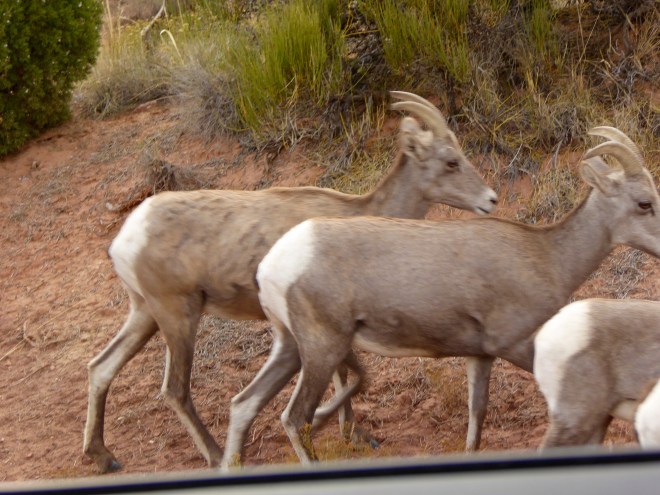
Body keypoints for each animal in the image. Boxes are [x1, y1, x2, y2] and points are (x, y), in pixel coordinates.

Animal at [83, 91, 498, 473]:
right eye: (451, 161)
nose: (491, 200)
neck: (362, 213)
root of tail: (128, 235)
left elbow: (345, 376)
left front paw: (351, 433)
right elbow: (348, 376)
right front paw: (348, 431)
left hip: (145, 314)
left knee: (101, 367)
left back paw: (104, 457)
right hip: (178, 316)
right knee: (175, 390)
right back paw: (217, 456)